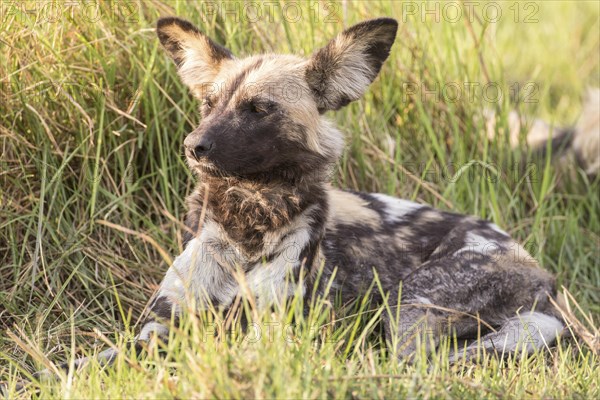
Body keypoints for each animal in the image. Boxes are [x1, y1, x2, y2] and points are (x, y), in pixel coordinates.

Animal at [34, 15, 568, 378]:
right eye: (209, 103)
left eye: (259, 108)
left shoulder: (267, 338)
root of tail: (533, 263)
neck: (246, 225)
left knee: (412, 364)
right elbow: (83, 365)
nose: (193, 145)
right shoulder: (159, 330)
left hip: (410, 305)